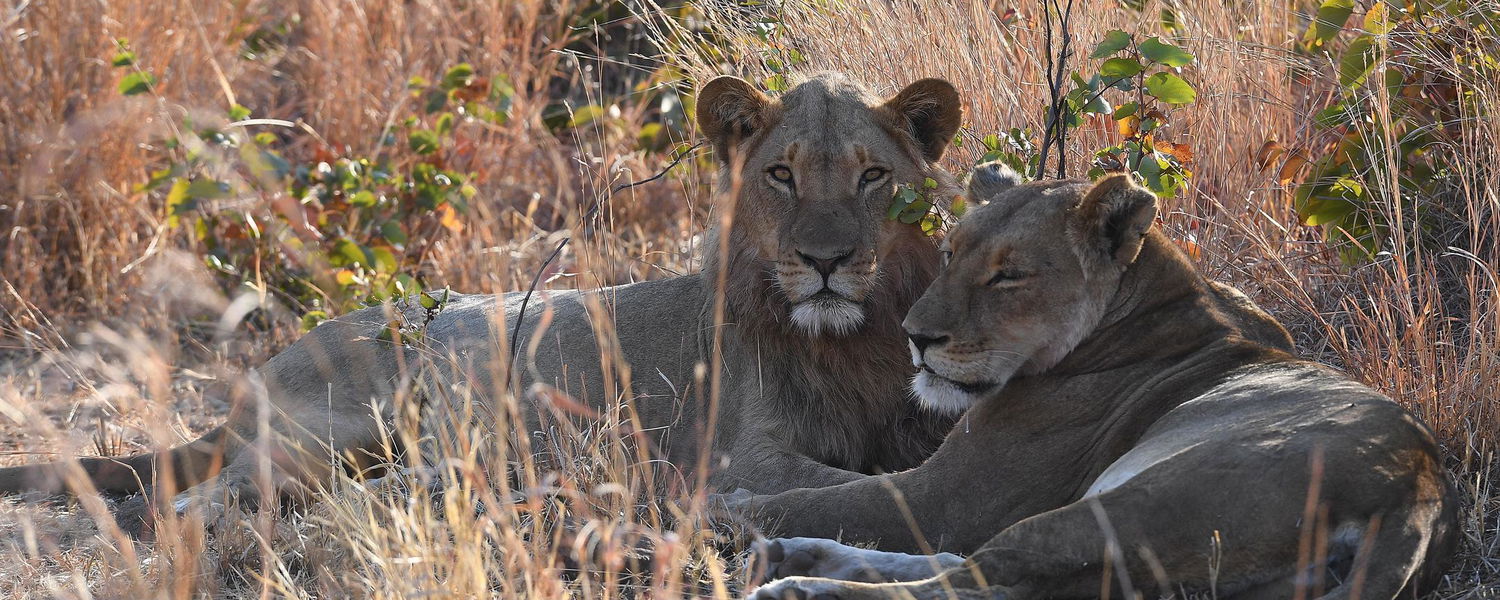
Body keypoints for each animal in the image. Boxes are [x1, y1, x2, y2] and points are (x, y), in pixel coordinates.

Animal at [0, 73, 962, 524]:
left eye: (873, 176)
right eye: (780, 174)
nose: (826, 260)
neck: (846, 340)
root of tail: (259, 375)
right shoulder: (733, 463)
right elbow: (859, 483)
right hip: (341, 426)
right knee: (209, 494)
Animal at [737, 167, 1459, 599]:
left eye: (1009, 275)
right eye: (949, 253)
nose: (915, 338)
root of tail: (1418, 493)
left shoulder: (950, 497)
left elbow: (819, 497)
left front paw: (725, 502)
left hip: (1131, 507)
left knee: (974, 580)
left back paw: (800, 582)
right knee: (972, 572)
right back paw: (796, 560)